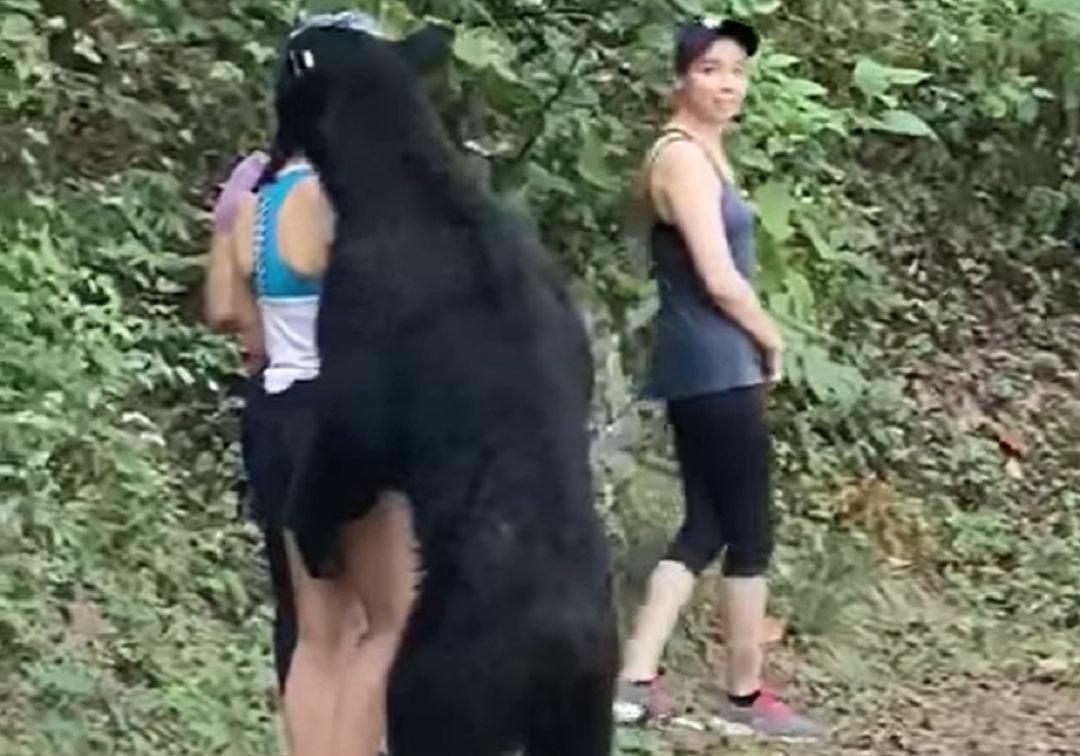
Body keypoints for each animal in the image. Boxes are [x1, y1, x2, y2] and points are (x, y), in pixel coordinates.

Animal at [280, 13, 617, 756]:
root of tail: (565, 642)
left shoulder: (360, 306)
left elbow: (351, 442)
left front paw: (312, 534)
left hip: (450, 670)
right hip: (584, 707)